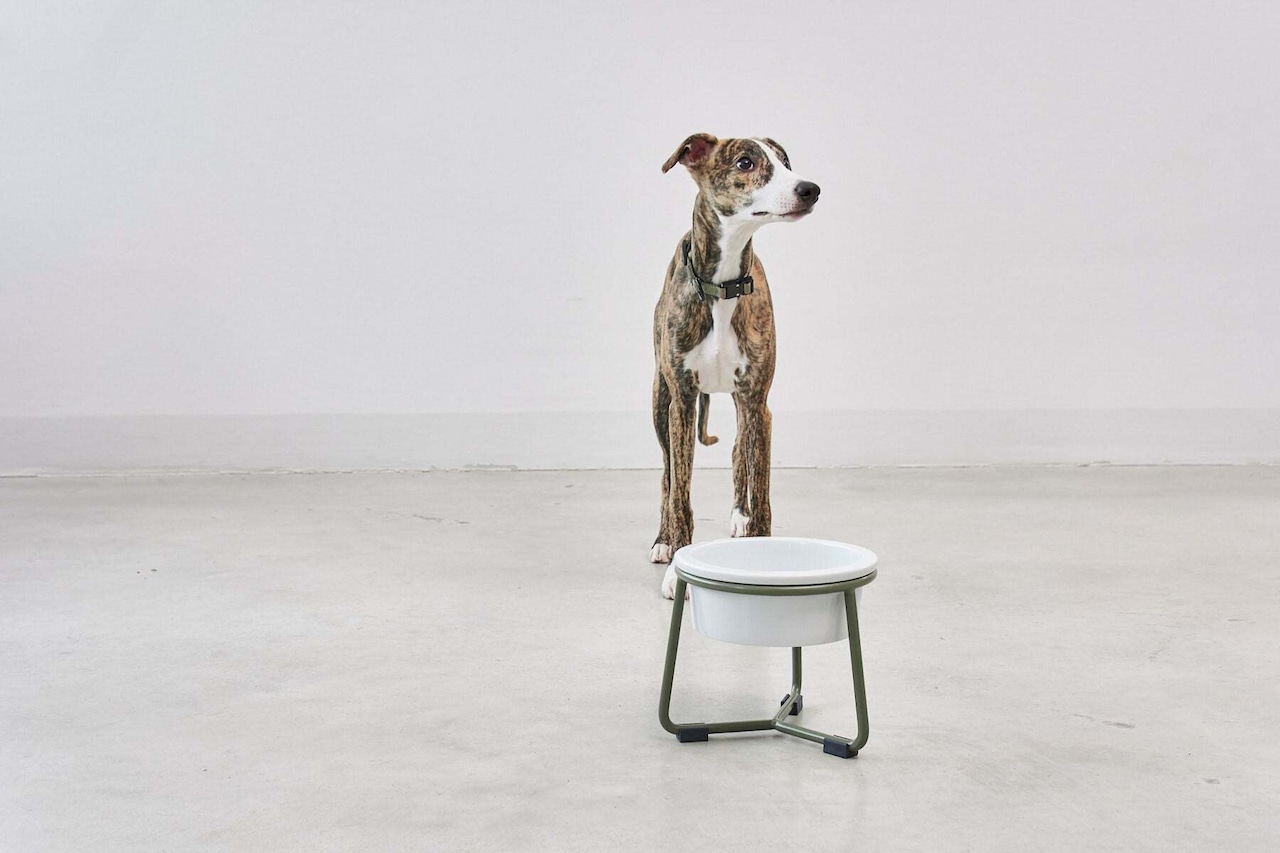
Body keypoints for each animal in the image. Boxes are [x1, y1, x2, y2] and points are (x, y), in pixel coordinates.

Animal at [649, 133, 820, 598]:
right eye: (745, 162)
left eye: (784, 162)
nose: (810, 189)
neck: (722, 285)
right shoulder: (682, 401)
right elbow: (681, 493)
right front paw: (677, 566)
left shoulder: (757, 401)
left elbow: (760, 488)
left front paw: (758, 547)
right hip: (659, 401)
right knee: (668, 474)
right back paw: (662, 540)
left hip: (749, 409)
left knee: (738, 453)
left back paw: (739, 517)